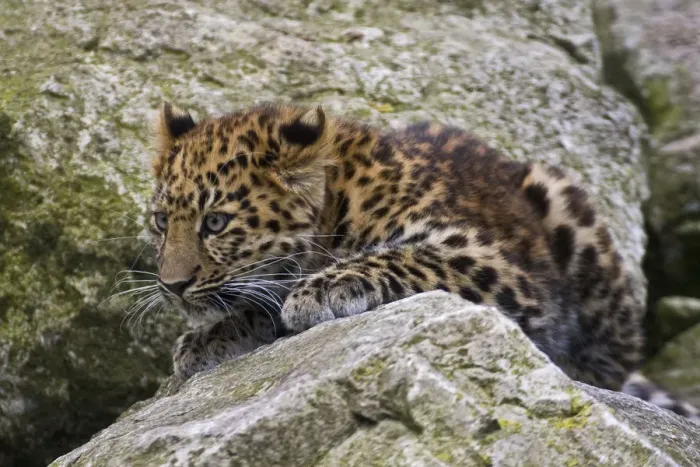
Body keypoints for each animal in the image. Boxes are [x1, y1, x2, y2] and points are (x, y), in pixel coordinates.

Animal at [146, 101, 698, 422]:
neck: (337, 202)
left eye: (216, 223)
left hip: (565, 206)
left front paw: (321, 289)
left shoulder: (486, 261)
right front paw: (207, 339)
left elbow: (401, 257)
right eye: (161, 221)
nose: (172, 286)